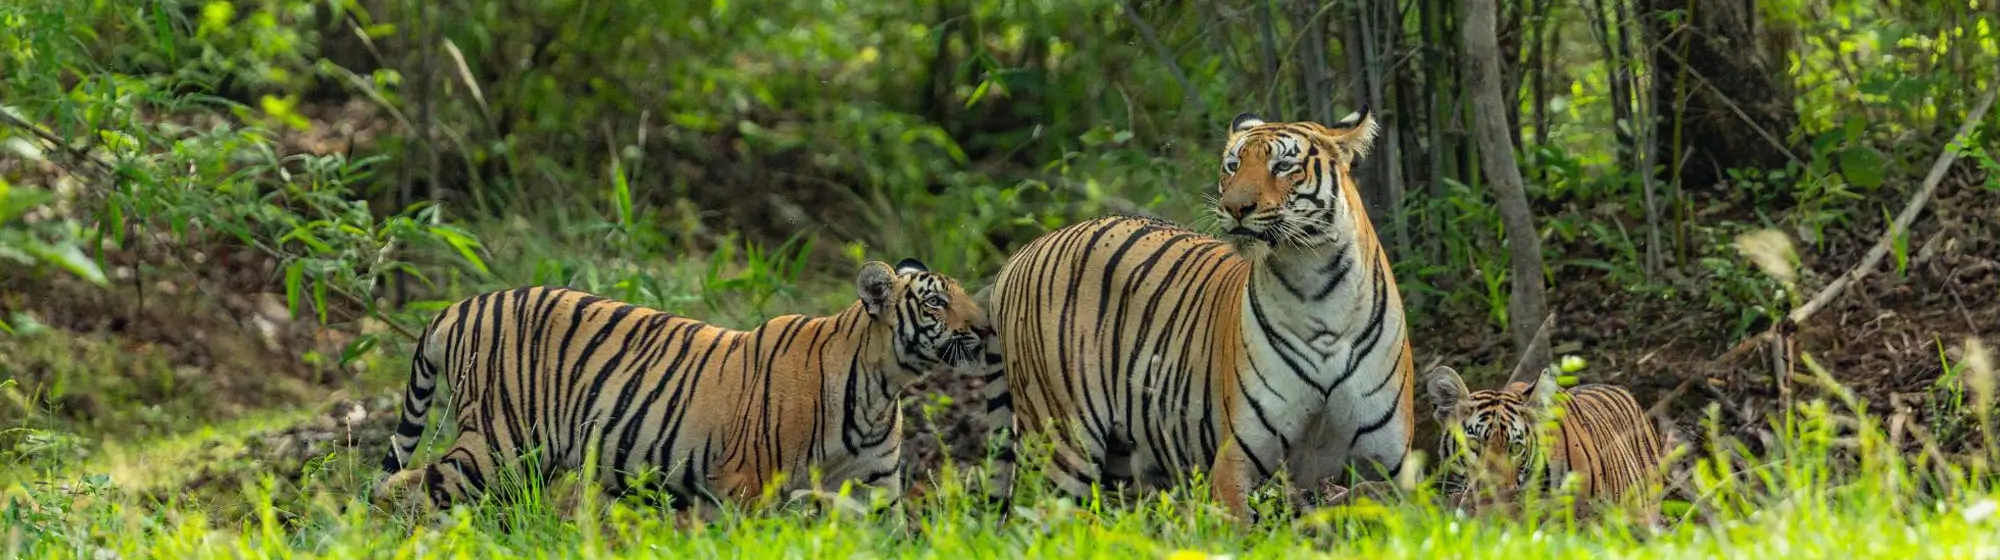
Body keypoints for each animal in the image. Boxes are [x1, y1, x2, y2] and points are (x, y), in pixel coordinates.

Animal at [373, 258, 993, 514]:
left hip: (523, 462)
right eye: (937, 303)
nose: (988, 327)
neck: (880, 386)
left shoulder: (874, 490)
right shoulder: (746, 482)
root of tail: (458, 306)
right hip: (497, 443)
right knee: (407, 485)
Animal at [978, 107, 1416, 524]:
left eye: (1283, 166)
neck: (1315, 286)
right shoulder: (1237, 456)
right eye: (1233, 166)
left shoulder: (1392, 465)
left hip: (1116, 463)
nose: (1236, 207)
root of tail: (1020, 254)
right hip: (1062, 442)